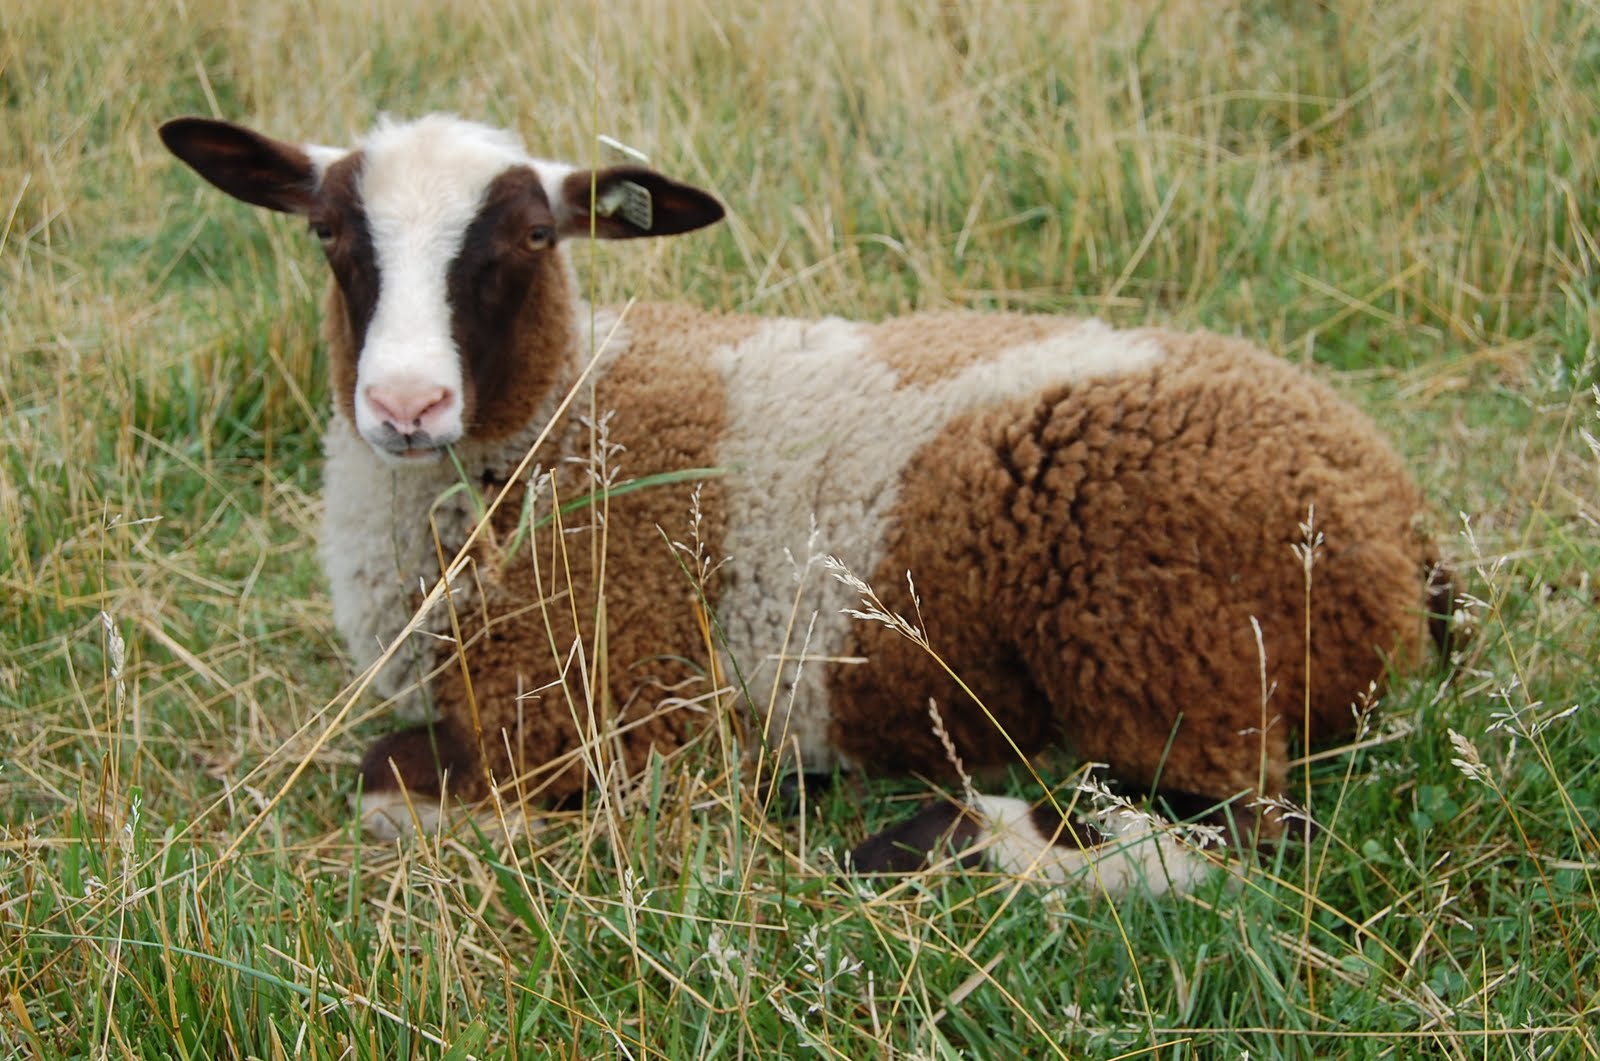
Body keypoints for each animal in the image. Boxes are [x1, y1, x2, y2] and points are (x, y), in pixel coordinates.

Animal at [159, 113, 1445, 894]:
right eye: (329, 231)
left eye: (529, 236)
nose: (407, 404)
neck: (564, 418)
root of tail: (1400, 517)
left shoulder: (618, 697)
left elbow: (390, 780)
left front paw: (672, 813)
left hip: (1173, 641)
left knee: (1248, 827)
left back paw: (927, 837)